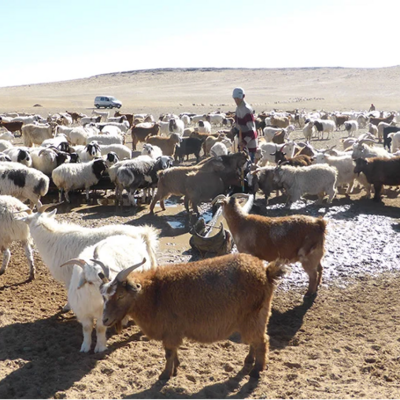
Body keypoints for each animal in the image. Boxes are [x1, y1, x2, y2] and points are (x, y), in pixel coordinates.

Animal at [101, 255, 286, 380]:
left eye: (120, 296)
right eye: (104, 296)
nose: (105, 320)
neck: (155, 293)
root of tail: (265, 272)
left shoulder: (170, 331)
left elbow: (169, 353)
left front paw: (165, 375)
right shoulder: (173, 332)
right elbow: (174, 351)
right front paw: (176, 368)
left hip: (255, 317)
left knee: (262, 341)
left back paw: (256, 371)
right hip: (253, 319)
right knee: (255, 341)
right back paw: (249, 360)